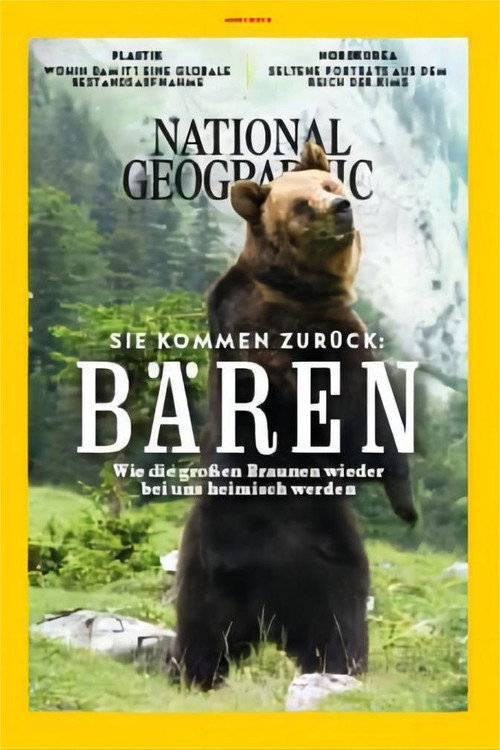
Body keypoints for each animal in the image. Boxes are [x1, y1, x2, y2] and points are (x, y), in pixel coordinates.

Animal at [171, 142, 417, 690]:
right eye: (304, 203)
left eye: (330, 185)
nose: (341, 207)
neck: (297, 290)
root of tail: (265, 605)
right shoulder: (303, 337)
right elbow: (366, 418)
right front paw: (406, 503)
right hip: (253, 562)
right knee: (332, 634)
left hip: (312, 563)